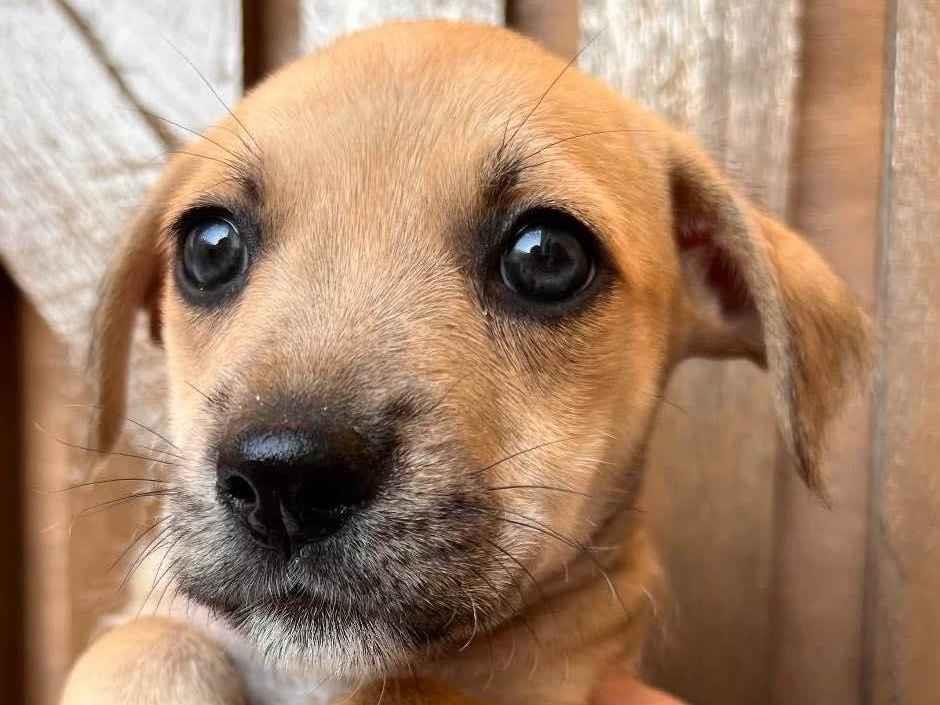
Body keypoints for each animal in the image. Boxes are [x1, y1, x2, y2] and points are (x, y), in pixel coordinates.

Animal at [60, 20, 869, 705]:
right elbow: (148, 639)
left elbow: (416, 692)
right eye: (211, 245)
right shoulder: (158, 620)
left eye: (546, 256)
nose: (284, 479)